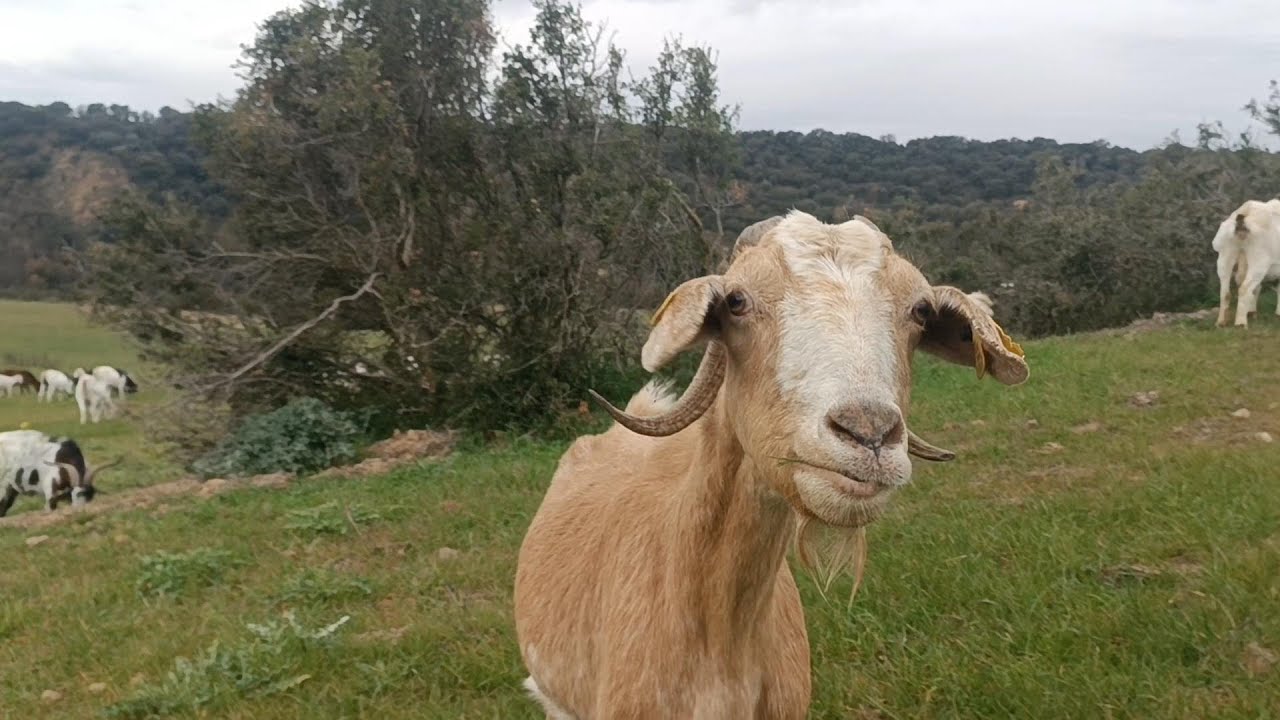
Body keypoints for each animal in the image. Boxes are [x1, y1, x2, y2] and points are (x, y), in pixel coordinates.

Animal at [1214, 198, 1280, 328]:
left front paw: (1252, 312)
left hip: (1226, 255)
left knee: (1225, 291)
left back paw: (1221, 322)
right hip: (1259, 260)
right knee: (1245, 288)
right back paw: (1240, 323)